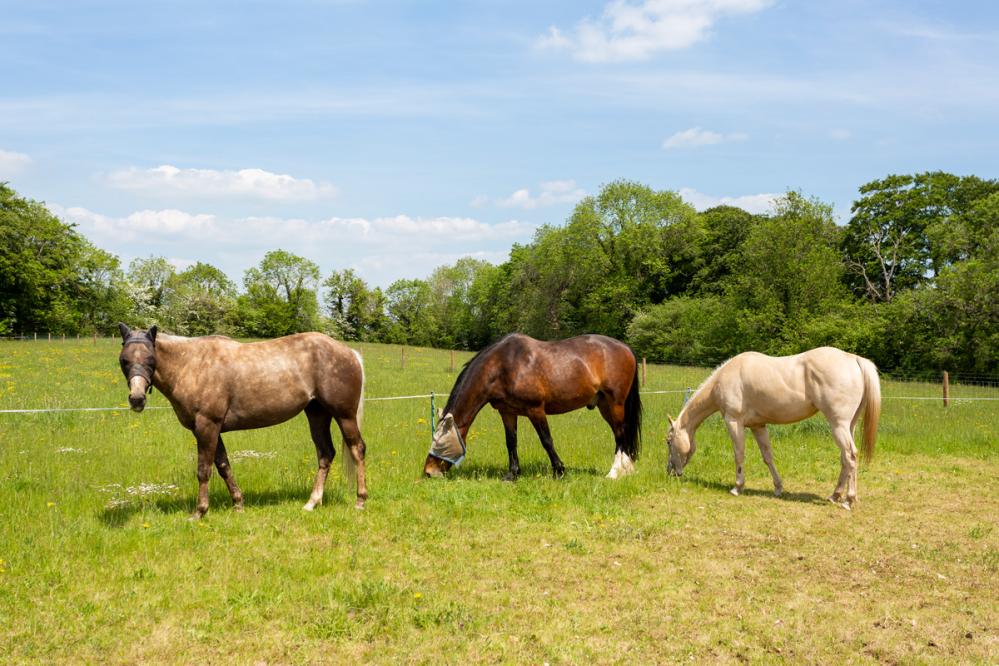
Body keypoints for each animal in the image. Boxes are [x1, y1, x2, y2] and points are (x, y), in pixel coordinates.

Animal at [117, 324, 368, 516]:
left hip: (344, 416)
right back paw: (312, 503)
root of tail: (349, 353)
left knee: (357, 449)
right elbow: (223, 466)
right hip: (317, 414)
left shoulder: (206, 426)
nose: (136, 399)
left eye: (150, 358)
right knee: (325, 454)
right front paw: (238, 504)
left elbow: (204, 470)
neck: (192, 364)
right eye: (124, 360)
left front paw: (200, 511)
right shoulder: (213, 429)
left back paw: (360, 500)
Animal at [420, 334, 640, 480]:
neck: (502, 366)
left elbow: (546, 440)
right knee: (620, 435)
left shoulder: (536, 410)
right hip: (604, 405)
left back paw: (614, 473)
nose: (428, 472)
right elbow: (511, 442)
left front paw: (559, 471)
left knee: (620, 435)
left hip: (615, 404)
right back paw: (627, 469)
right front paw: (512, 474)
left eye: (440, 443)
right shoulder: (507, 412)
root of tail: (626, 348)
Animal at [668, 344, 880, 506]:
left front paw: (737, 487)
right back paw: (835, 495)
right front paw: (778, 487)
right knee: (845, 458)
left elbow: (739, 454)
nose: (670, 471)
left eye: (668, 441)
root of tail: (853, 359)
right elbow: (767, 456)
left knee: (850, 456)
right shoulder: (758, 426)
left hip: (839, 425)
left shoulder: (734, 421)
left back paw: (848, 500)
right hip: (848, 426)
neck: (725, 378)